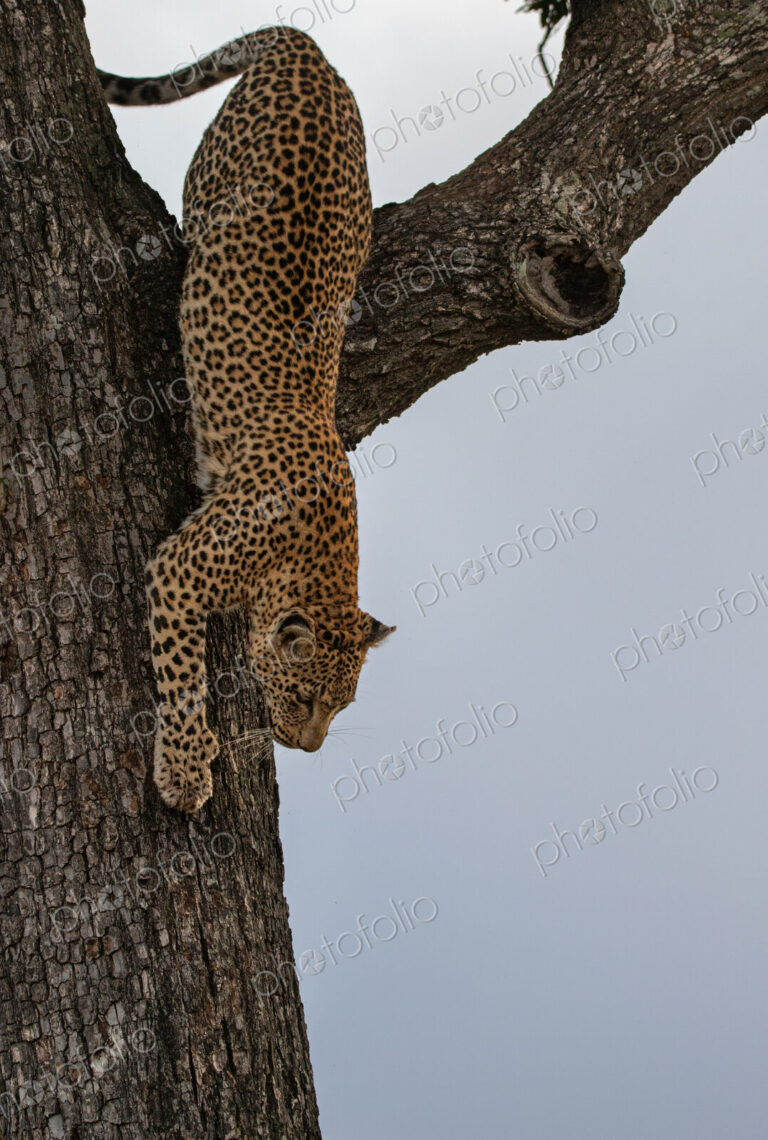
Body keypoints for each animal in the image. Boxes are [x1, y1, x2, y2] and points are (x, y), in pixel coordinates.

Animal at [99, 27, 395, 812]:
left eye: (343, 707)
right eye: (308, 697)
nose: (310, 747)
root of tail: (310, 51)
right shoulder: (178, 571)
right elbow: (180, 675)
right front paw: (184, 768)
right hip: (212, 175)